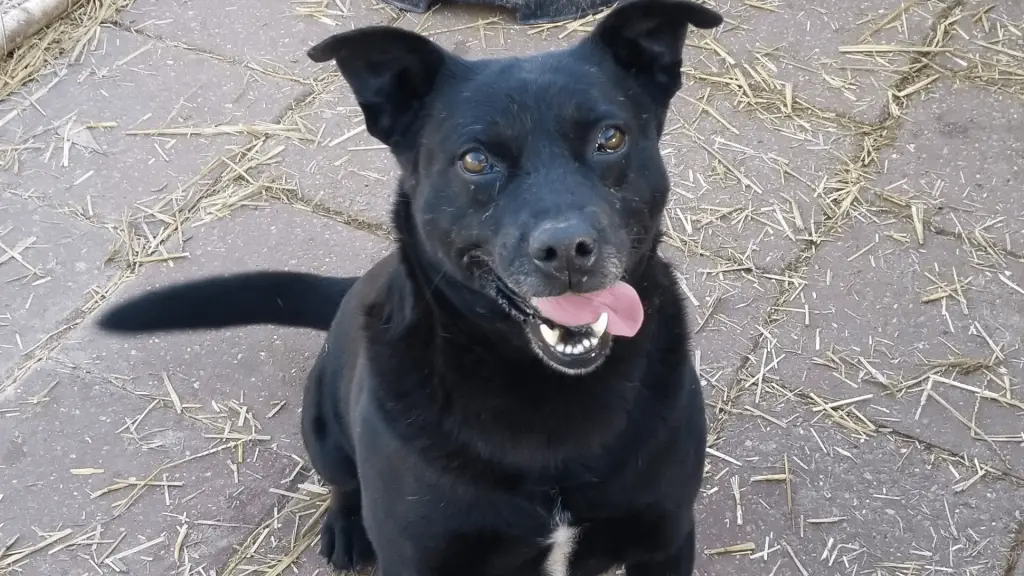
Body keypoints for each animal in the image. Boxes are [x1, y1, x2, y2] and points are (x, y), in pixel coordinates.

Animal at [97, 2, 720, 569]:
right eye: (476, 160)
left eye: (610, 139)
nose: (567, 249)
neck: (548, 397)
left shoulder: (665, 536)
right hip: (322, 430)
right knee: (343, 482)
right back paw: (346, 527)